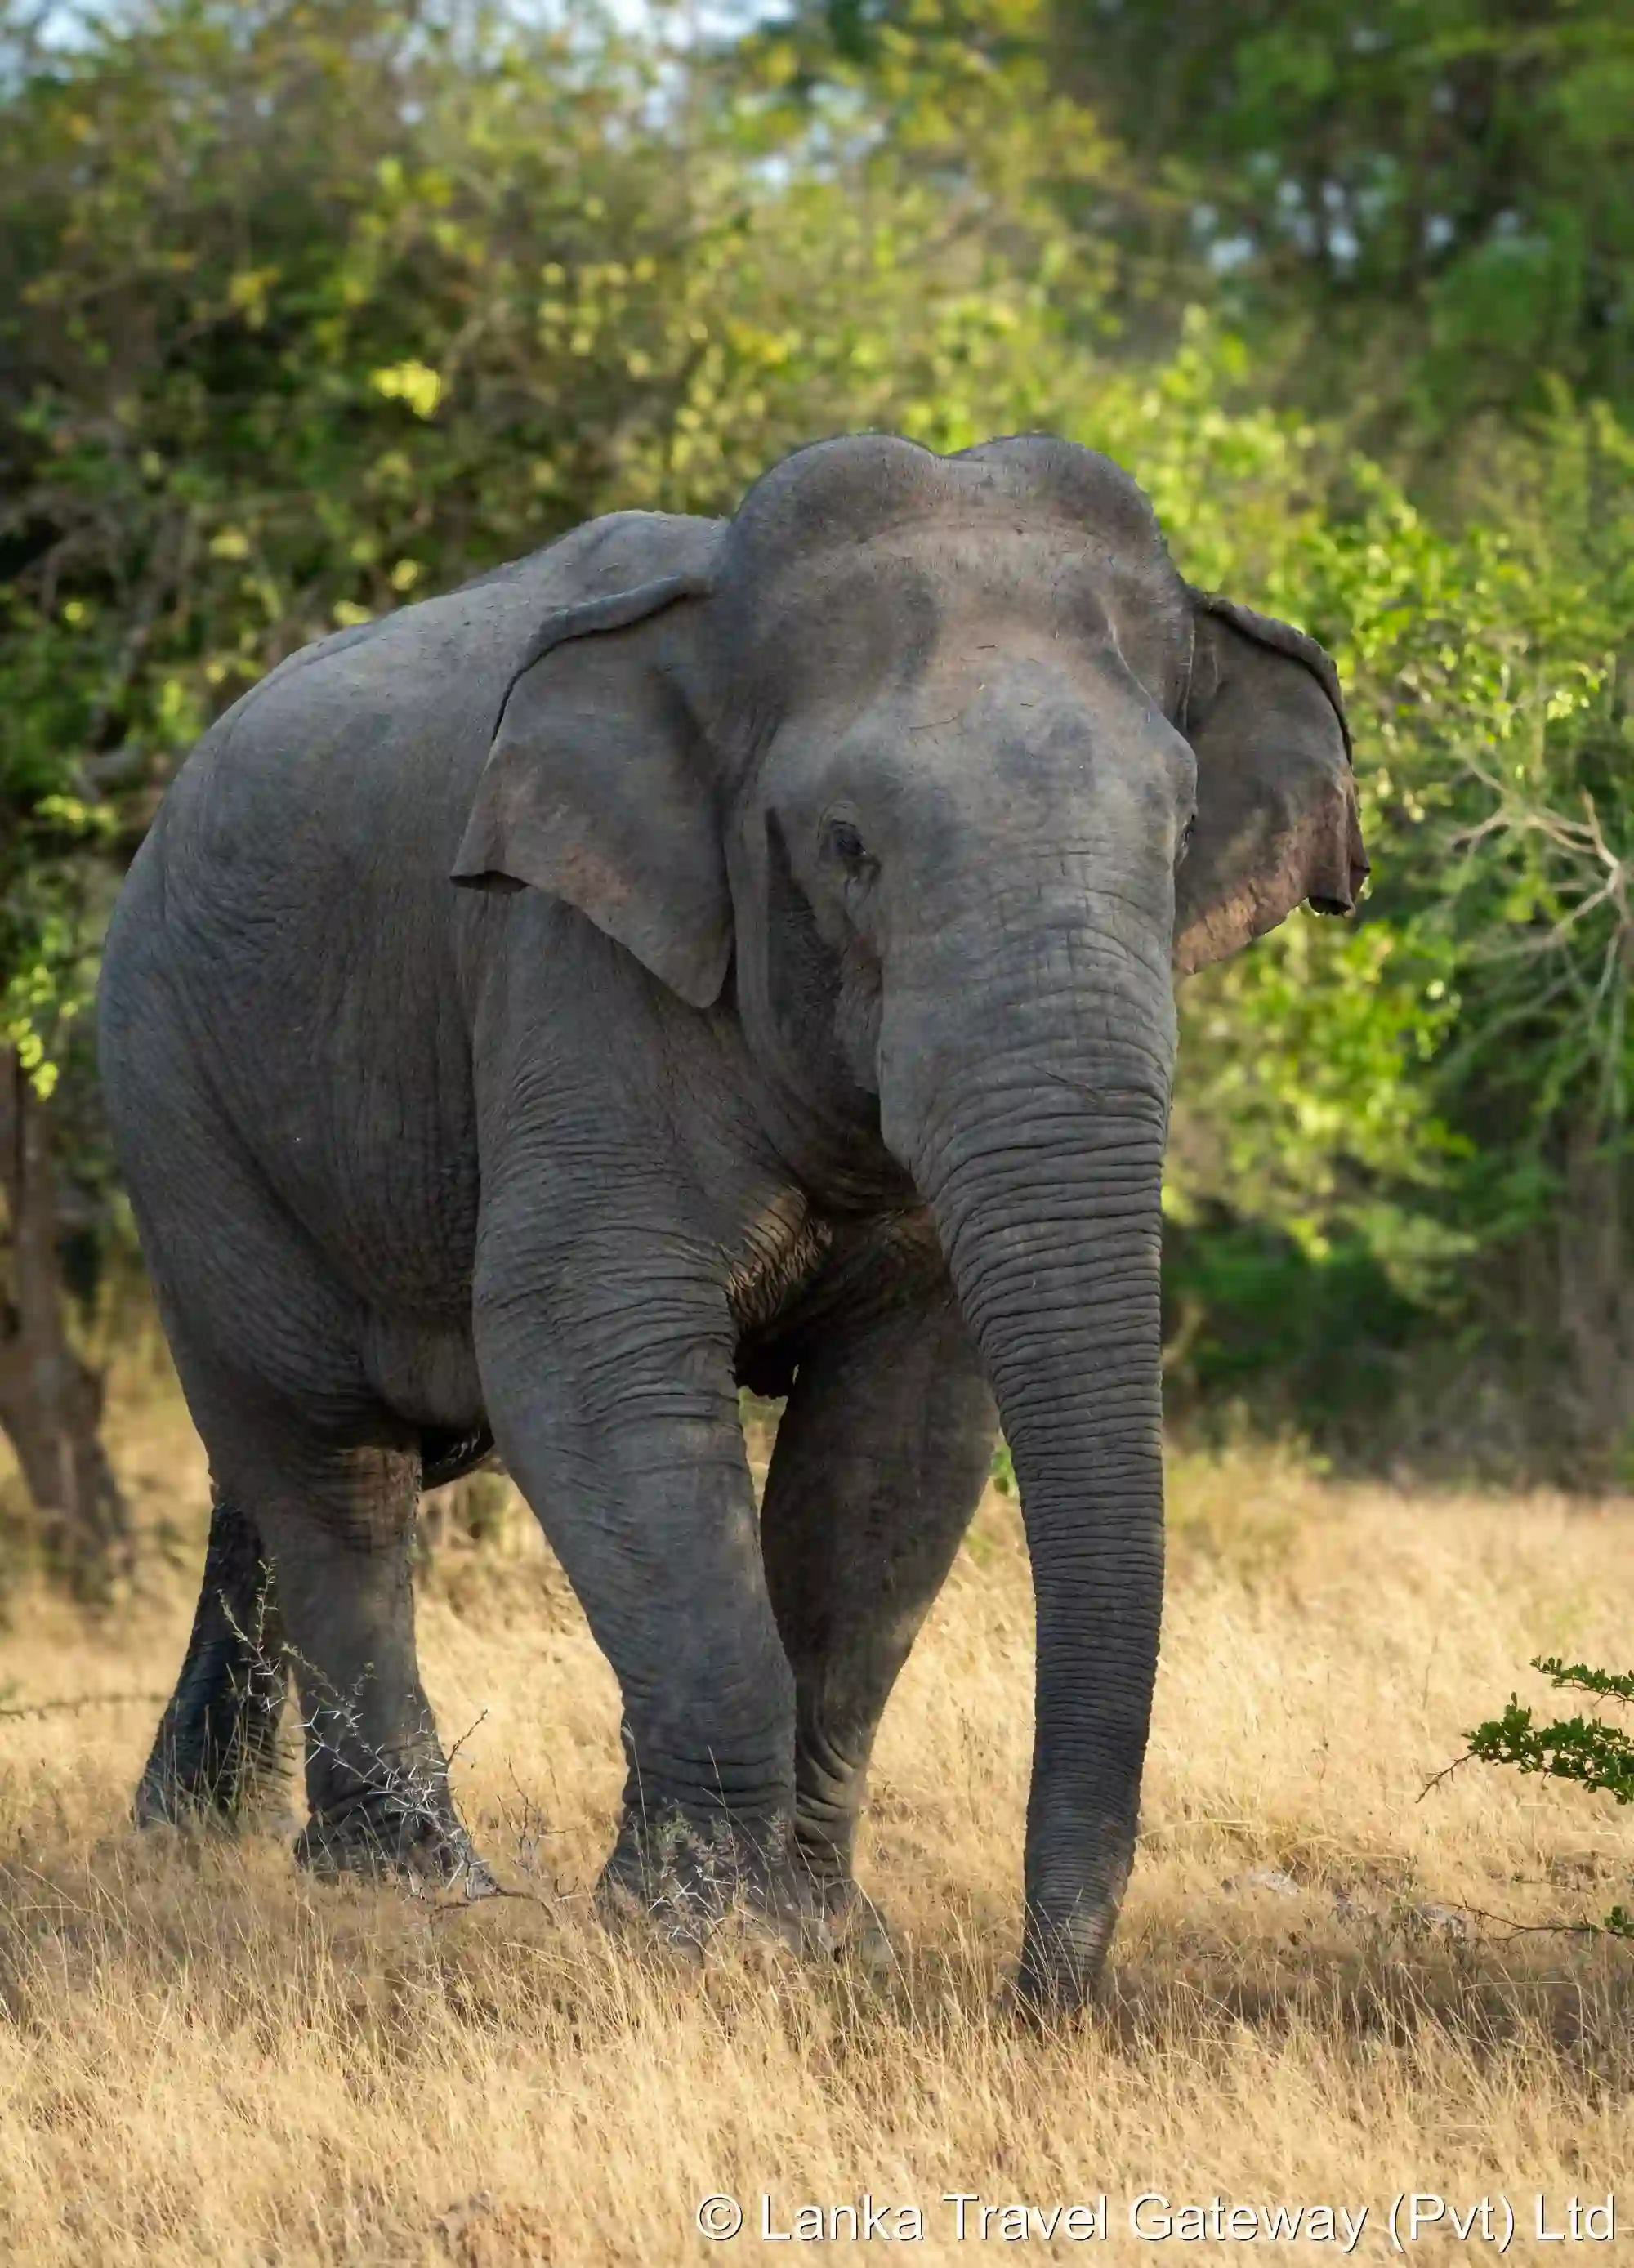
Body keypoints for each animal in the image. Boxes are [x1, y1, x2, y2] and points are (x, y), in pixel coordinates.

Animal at [97, 432, 1365, 2007]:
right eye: (847, 844)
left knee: (275, 1480)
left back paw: (204, 1837)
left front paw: (819, 1933)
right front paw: (699, 1935)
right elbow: (585, 1351)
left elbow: (895, 1447)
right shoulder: (567, 956)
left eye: (1184, 831)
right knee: (326, 1460)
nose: (1035, 1996)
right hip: (179, 1101)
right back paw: (412, 1884)